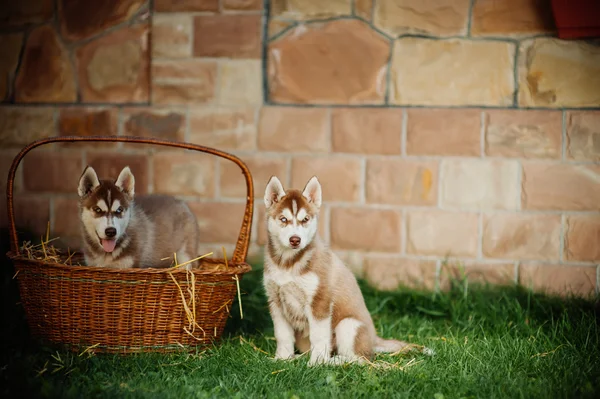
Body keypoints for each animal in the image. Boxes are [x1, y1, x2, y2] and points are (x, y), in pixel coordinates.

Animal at [262, 177, 432, 368]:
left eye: (305, 219)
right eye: (283, 219)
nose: (295, 240)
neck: (288, 263)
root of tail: (374, 339)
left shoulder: (320, 301)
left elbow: (319, 337)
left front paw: (317, 363)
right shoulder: (275, 301)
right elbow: (282, 335)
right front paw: (282, 359)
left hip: (348, 325)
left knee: (361, 359)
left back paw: (333, 361)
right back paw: (300, 358)